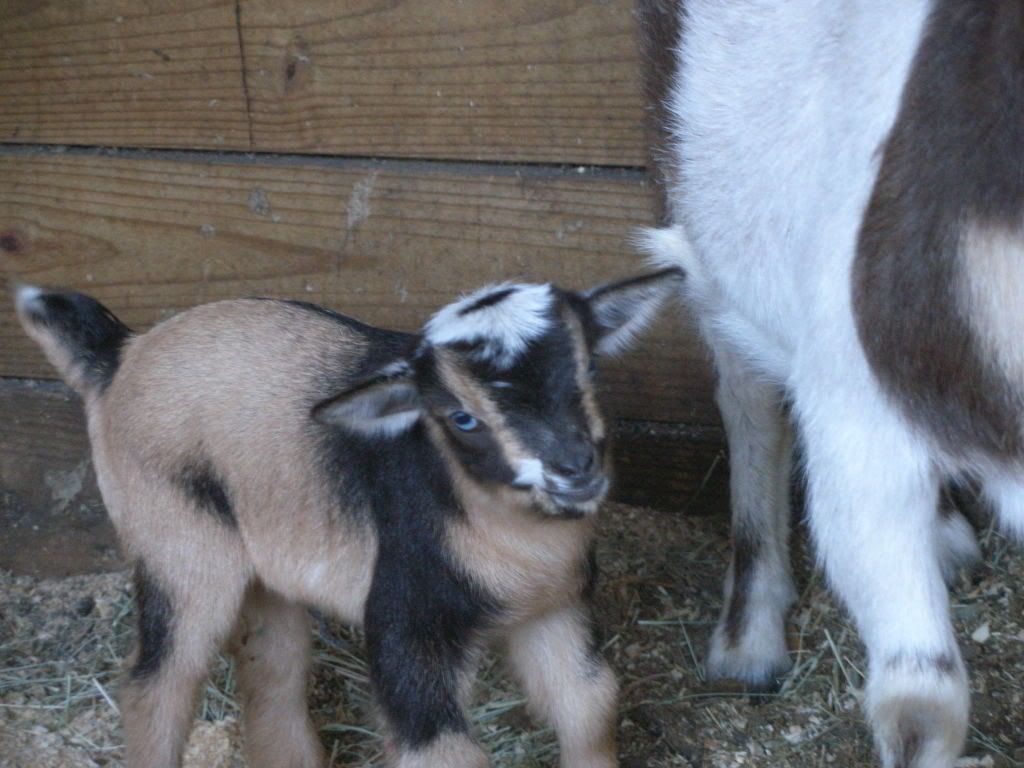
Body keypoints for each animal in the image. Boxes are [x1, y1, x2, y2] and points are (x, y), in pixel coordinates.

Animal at [14, 270, 680, 768]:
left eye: (588, 369)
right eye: (460, 417)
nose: (573, 469)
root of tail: (122, 355)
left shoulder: (551, 610)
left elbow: (590, 702)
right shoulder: (405, 628)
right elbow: (445, 752)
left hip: (266, 562)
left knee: (272, 670)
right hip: (178, 547)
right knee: (156, 684)